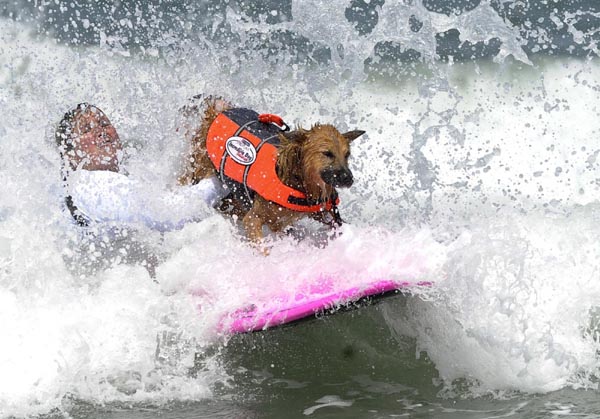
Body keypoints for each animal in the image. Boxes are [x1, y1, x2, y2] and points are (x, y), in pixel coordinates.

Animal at [179, 96, 366, 246]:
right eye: (327, 153)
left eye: (347, 155)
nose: (348, 179)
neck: (297, 182)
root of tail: (217, 111)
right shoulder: (253, 219)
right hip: (198, 168)